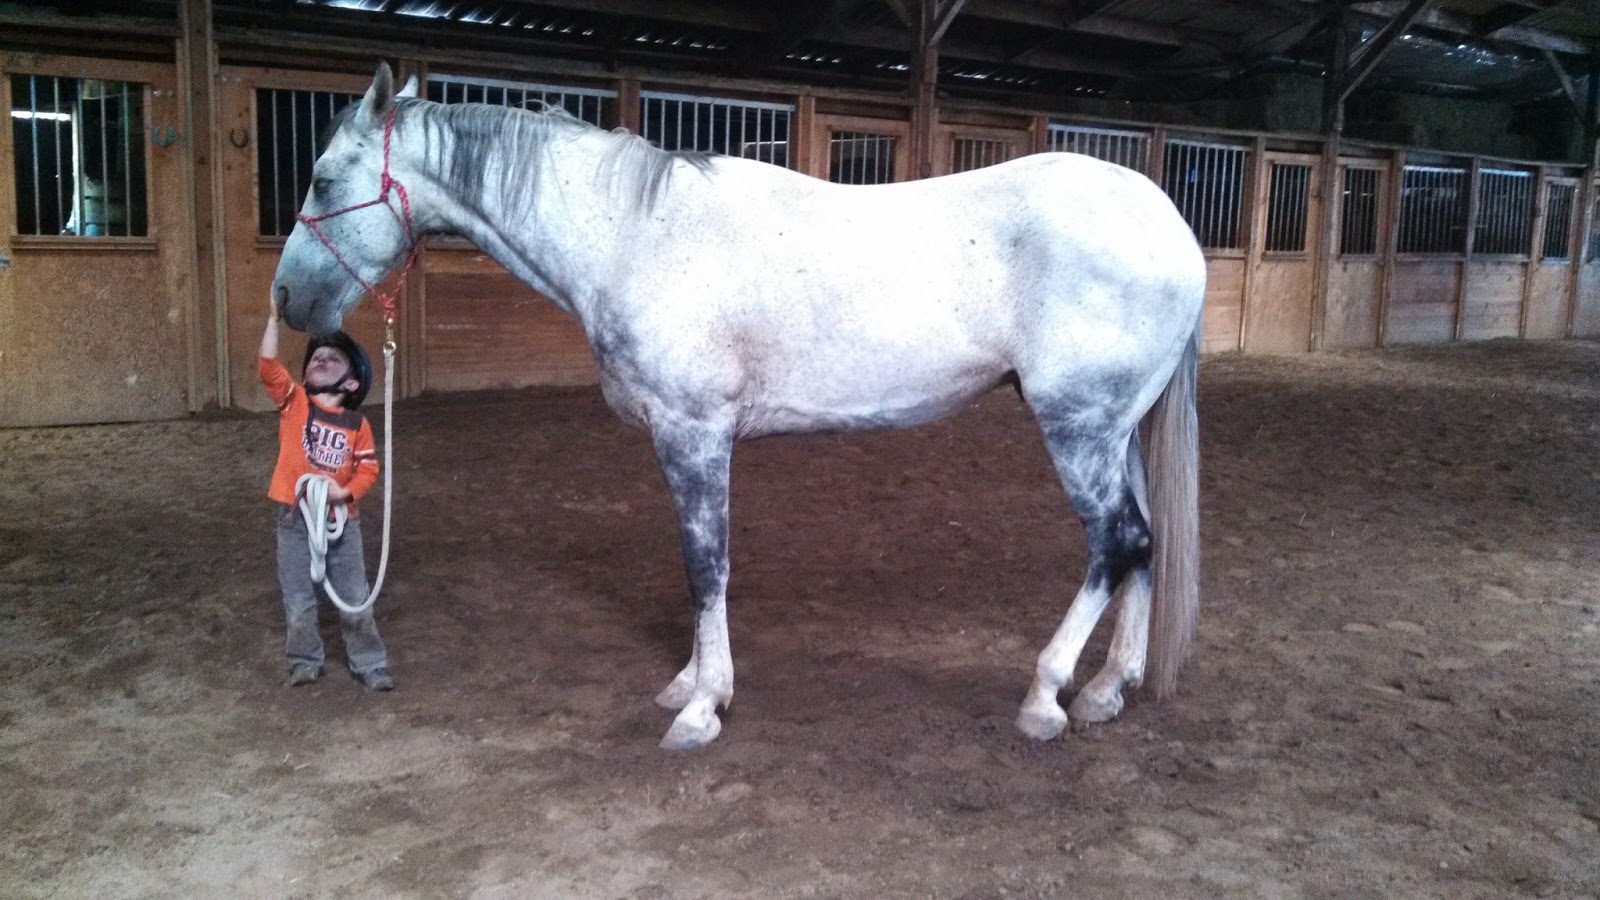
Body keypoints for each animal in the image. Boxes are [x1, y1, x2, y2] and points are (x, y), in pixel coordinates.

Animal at [272, 63, 1206, 751]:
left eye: (321, 178)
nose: (288, 300)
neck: (635, 233)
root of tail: (1169, 223)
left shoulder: (694, 434)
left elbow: (705, 563)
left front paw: (701, 706)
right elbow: (701, 565)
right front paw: (689, 684)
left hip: (1077, 426)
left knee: (1116, 541)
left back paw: (1047, 696)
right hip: (1115, 429)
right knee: (1146, 542)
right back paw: (1107, 689)